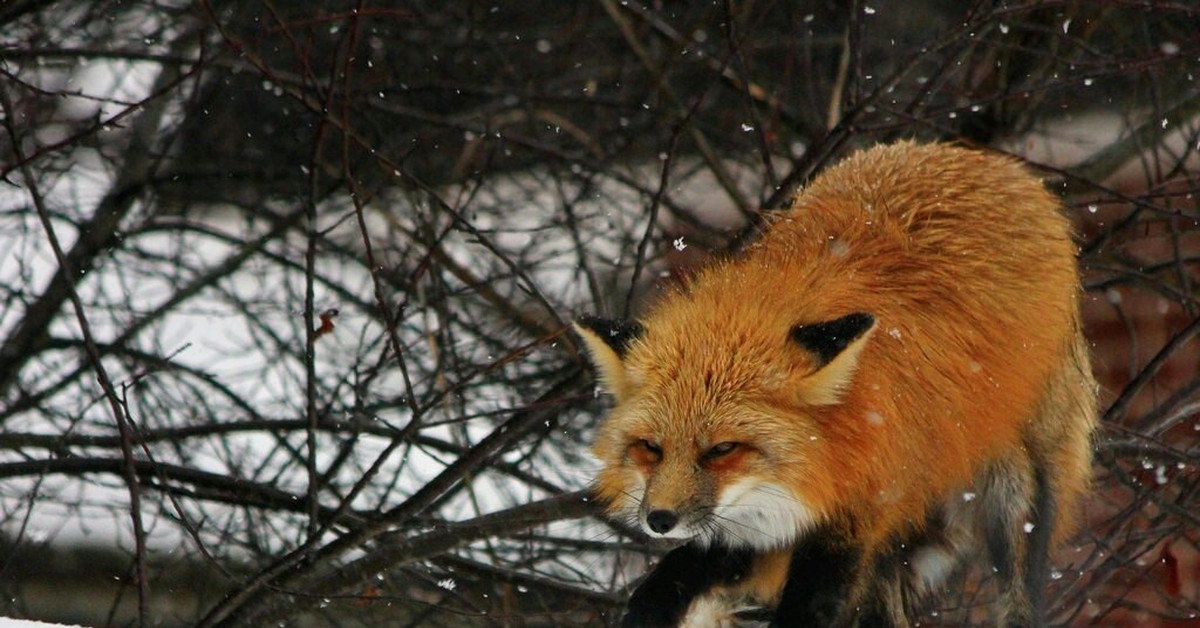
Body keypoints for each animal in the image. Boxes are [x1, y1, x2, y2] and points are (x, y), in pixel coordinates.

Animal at [573, 143, 1099, 628]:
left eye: (723, 449)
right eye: (650, 447)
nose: (659, 520)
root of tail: (987, 159)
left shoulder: (860, 516)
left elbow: (811, 606)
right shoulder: (765, 519)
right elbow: (677, 575)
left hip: (1013, 488)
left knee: (1016, 592)